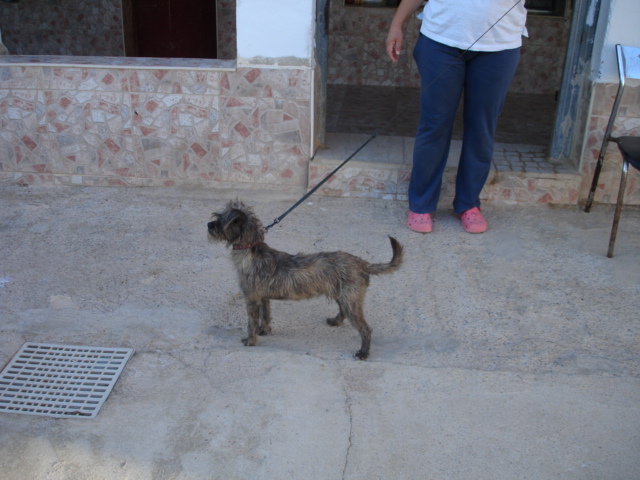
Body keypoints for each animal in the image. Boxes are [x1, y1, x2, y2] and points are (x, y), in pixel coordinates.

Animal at [208, 200, 402, 360]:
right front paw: (264, 331)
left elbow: (251, 323)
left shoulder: (252, 300)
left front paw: (251, 340)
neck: (251, 250)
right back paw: (335, 321)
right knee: (343, 311)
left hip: (351, 302)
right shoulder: (263, 299)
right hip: (343, 296)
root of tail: (362, 263)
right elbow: (266, 315)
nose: (208, 224)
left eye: (220, 220)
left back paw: (363, 353)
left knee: (365, 329)